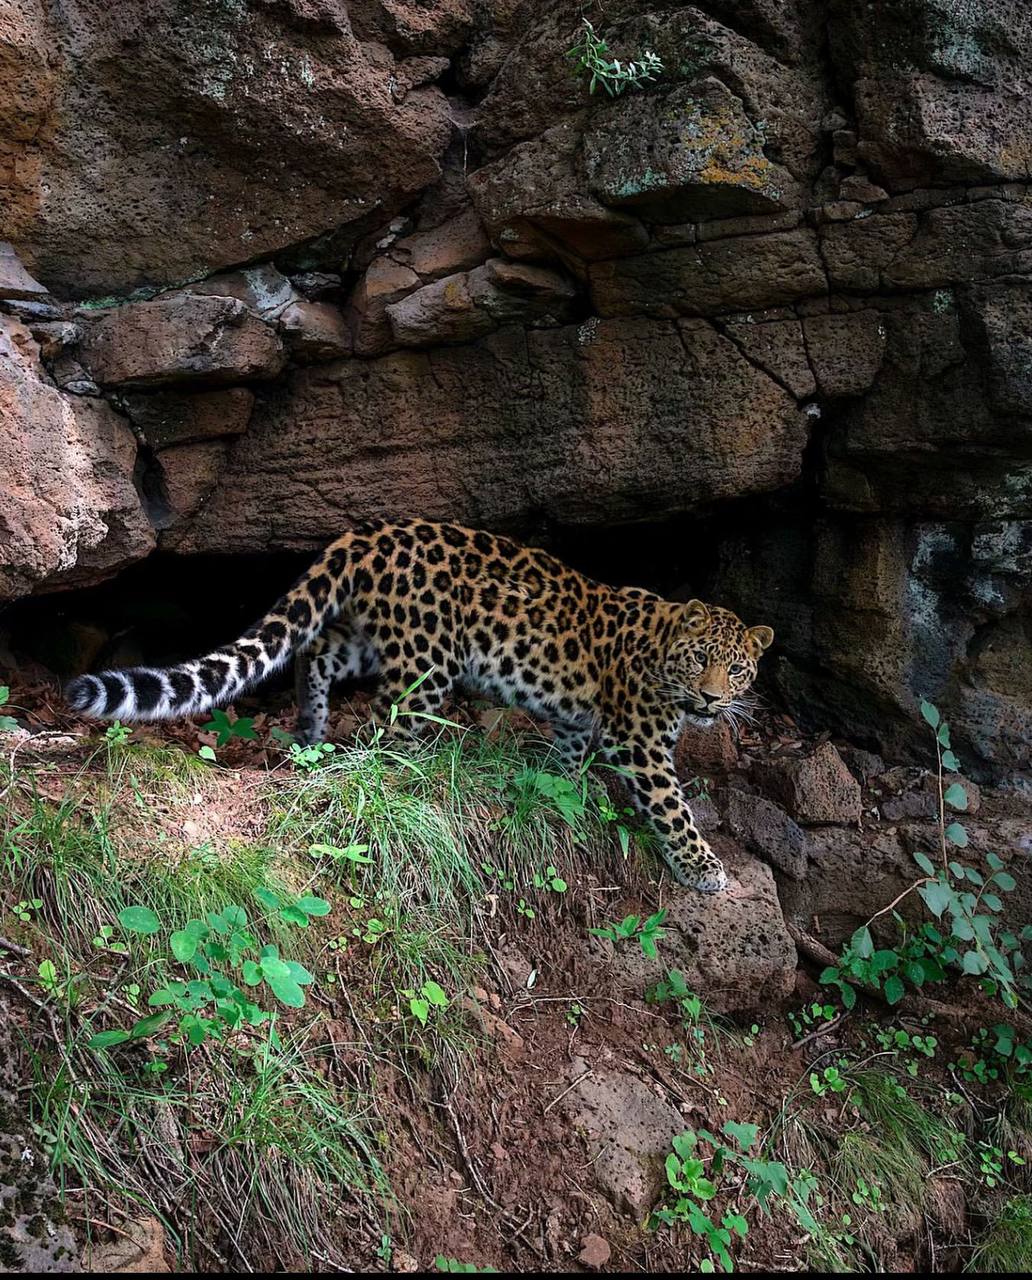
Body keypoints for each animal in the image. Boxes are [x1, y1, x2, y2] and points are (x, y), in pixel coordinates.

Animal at [64, 514, 773, 896]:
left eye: (736, 669)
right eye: (698, 660)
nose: (713, 697)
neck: (661, 653)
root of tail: (368, 533)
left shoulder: (583, 722)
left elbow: (568, 756)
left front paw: (554, 789)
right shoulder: (643, 744)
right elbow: (675, 810)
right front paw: (705, 869)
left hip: (378, 640)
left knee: (317, 652)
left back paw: (311, 730)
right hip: (427, 663)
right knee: (385, 732)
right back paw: (403, 784)